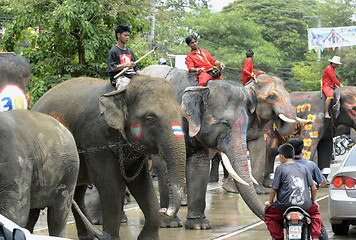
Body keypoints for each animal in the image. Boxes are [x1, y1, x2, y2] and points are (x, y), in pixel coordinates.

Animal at [32, 75, 186, 240]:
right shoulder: (95, 139)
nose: (165, 211)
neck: (121, 91)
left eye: (182, 114)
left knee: (77, 192)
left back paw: (88, 236)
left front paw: (147, 238)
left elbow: (141, 184)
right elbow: (111, 186)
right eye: (150, 118)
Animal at [140, 65, 302, 229]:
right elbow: (165, 164)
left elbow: (201, 165)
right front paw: (170, 223)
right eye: (271, 97)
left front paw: (199, 225)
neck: (200, 87)